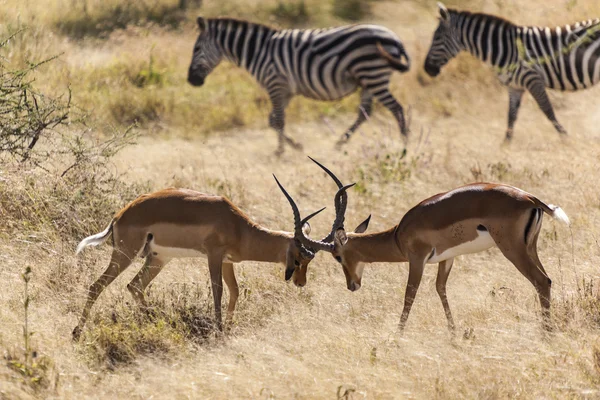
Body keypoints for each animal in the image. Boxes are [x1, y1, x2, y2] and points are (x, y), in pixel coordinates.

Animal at [189, 17, 412, 155]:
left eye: (197, 48)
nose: (191, 80)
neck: (258, 51)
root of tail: (395, 38)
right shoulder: (285, 91)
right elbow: (273, 121)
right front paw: (296, 146)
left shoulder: (276, 84)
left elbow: (278, 121)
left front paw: (281, 151)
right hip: (368, 79)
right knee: (365, 112)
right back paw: (340, 142)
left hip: (373, 73)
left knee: (396, 108)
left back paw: (404, 145)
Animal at [424, 2, 600, 141]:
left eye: (437, 38)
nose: (426, 69)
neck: (506, 49)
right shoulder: (514, 87)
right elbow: (511, 117)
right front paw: (505, 146)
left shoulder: (533, 79)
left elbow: (548, 110)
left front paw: (566, 138)